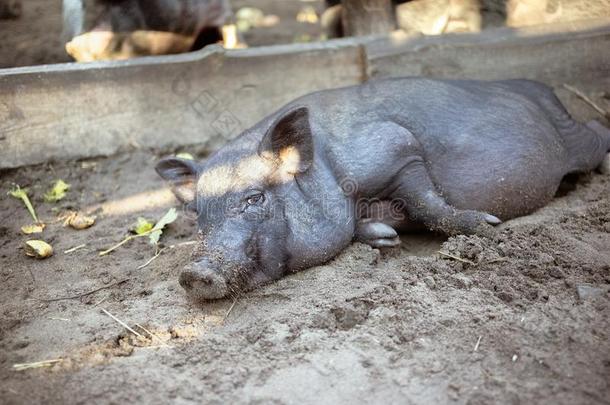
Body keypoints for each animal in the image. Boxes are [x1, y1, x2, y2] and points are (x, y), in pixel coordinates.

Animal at [156, 78, 608, 300]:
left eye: (254, 198)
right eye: (199, 215)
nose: (193, 272)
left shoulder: (398, 149)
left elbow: (428, 204)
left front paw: (488, 225)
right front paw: (385, 237)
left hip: (577, 140)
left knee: (596, 134)